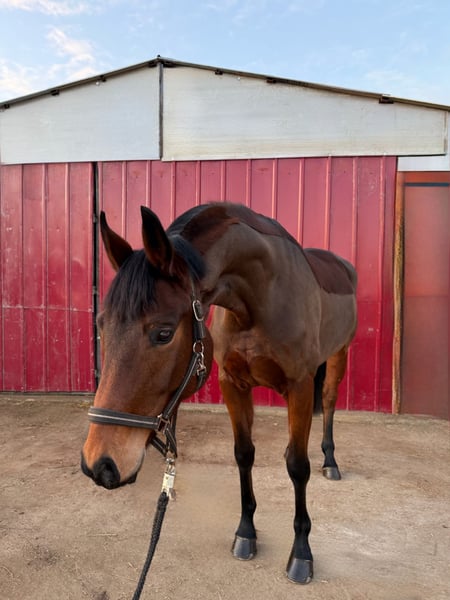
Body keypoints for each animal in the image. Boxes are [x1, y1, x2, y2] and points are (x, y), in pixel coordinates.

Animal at [81, 202, 357, 584]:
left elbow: (297, 466)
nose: (100, 463)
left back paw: (330, 461)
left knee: (328, 403)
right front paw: (245, 533)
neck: (263, 296)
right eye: (102, 324)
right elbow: (244, 455)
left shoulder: (299, 386)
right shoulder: (233, 385)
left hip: (338, 356)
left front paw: (301, 553)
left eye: (164, 333)